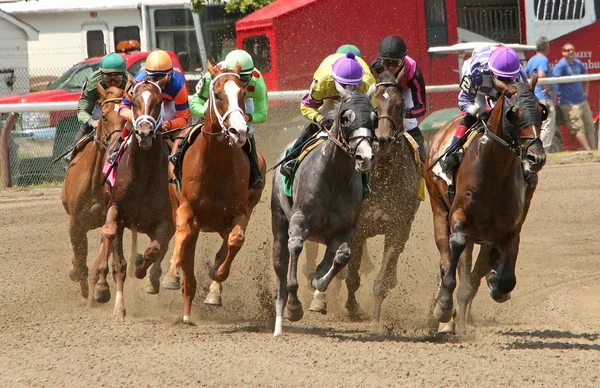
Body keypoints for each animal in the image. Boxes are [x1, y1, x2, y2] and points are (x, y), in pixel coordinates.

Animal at [60, 83, 136, 298]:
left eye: (127, 117)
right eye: (104, 116)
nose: (117, 142)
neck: (95, 183)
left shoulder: (112, 218)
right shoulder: (75, 223)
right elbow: (80, 257)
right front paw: (79, 278)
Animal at [88, 79, 175, 322]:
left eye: (159, 102)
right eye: (134, 102)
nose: (144, 132)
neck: (143, 173)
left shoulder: (166, 219)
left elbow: (155, 249)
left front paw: (143, 269)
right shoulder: (117, 211)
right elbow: (118, 260)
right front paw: (118, 307)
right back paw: (101, 286)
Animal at [161, 63, 266, 324]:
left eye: (243, 94)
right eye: (216, 95)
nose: (238, 131)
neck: (216, 165)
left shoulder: (240, 213)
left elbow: (235, 241)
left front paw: (217, 275)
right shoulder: (186, 210)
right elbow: (182, 234)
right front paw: (171, 273)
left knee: (225, 245)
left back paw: (212, 292)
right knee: (187, 247)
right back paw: (186, 307)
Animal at [270, 91, 376, 336]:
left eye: (374, 118)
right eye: (345, 118)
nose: (365, 157)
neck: (333, 178)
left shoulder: (346, 228)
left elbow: (342, 257)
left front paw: (317, 281)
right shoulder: (299, 221)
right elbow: (295, 248)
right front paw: (294, 307)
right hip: (279, 217)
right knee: (280, 262)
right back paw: (280, 319)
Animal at [424, 76, 548, 334]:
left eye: (542, 112)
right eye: (513, 113)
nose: (536, 158)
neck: (493, 172)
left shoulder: (509, 230)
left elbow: (506, 278)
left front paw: (496, 283)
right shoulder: (459, 216)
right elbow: (456, 251)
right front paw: (443, 307)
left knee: (477, 270)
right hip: (438, 208)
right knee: (446, 257)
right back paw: (446, 314)